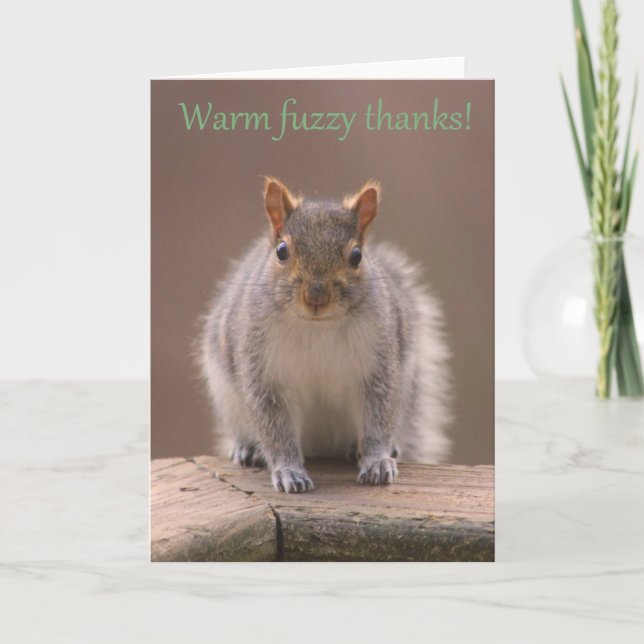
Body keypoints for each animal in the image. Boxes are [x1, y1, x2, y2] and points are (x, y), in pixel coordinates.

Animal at [200, 178, 451, 493]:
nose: (316, 295)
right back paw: (249, 449)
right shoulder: (262, 370)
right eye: (282, 250)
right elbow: (275, 428)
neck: (317, 325)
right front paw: (289, 472)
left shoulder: (378, 365)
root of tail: (322, 445)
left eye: (356, 255)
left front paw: (377, 461)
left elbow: (378, 416)